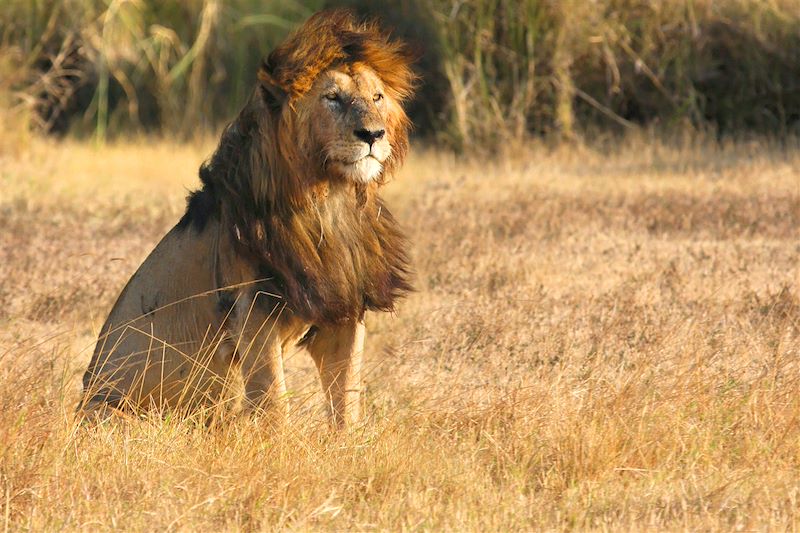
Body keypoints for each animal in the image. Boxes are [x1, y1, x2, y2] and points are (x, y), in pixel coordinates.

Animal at [78, 10, 416, 426]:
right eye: (332, 98)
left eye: (377, 97)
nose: (373, 134)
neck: (330, 200)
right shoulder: (253, 312)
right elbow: (274, 400)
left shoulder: (344, 307)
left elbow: (346, 396)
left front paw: (351, 441)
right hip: (115, 412)